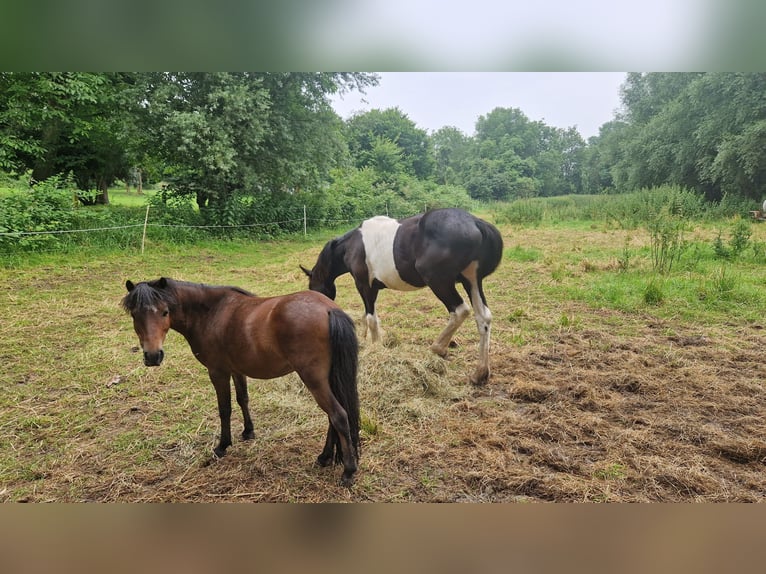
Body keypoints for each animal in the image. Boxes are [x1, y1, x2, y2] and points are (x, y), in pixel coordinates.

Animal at [123, 276, 364, 488]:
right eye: (135, 315)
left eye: (165, 312)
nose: (153, 356)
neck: (210, 313)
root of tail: (329, 309)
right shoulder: (237, 370)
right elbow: (243, 399)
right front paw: (248, 432)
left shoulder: (218, 372)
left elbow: (225, 408)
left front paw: (222, 446)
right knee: (333, 417)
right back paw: (325, 457)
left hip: (314, 379)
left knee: (338, 415)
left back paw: (348, 471)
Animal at [304, 208, 508, 388]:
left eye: (312, 288)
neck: (353, 245)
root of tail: (475, 222)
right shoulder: (371, 288)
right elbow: (368, 316)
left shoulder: (364, 285)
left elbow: (370, 318)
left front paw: (376, 347)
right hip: (471, 281)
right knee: (483, 318)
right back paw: (480, 373)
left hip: (439, 282)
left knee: (460, 311)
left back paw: (437, 348)